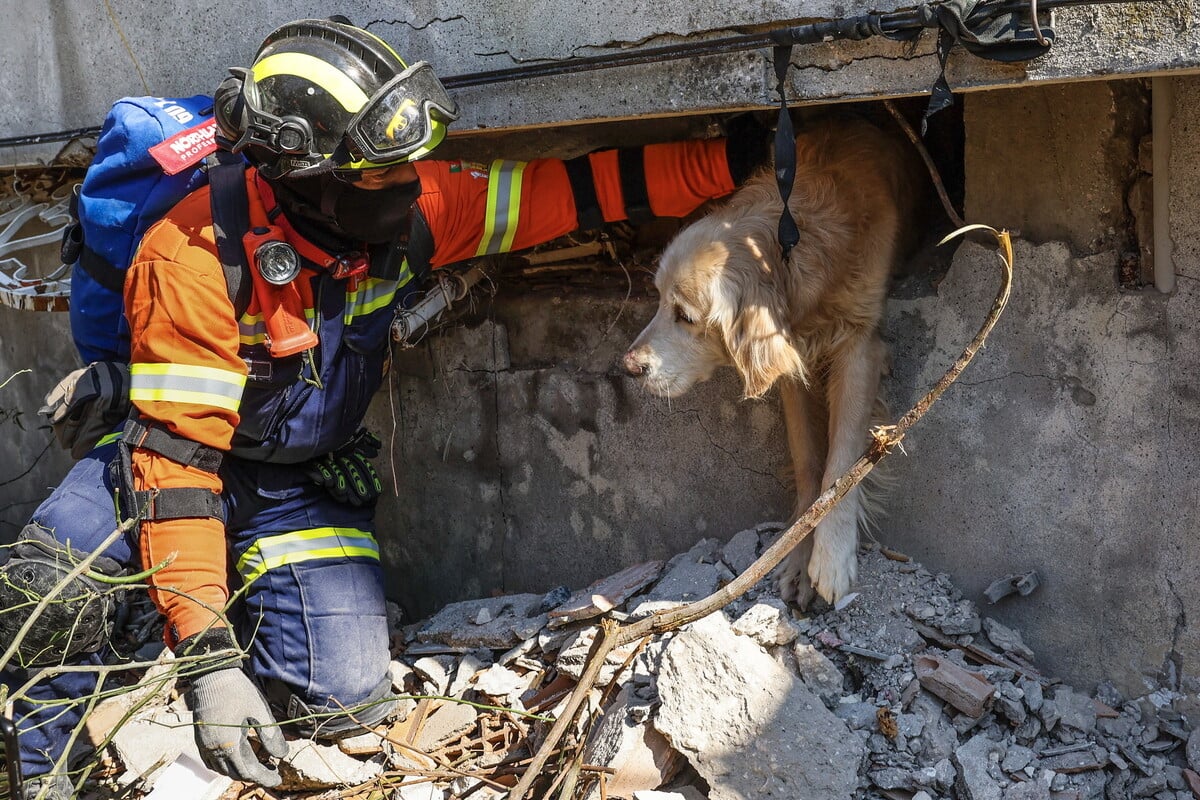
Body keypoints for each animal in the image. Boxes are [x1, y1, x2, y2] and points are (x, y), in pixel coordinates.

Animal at [624, 113, 912, 606]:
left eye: (685, 316)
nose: (631, 366)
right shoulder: (790, 361)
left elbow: (842, 458)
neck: (790, 248)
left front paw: (831, 555)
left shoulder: (859, 345)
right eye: (658, 300)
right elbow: (808, 459)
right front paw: (797, 555)